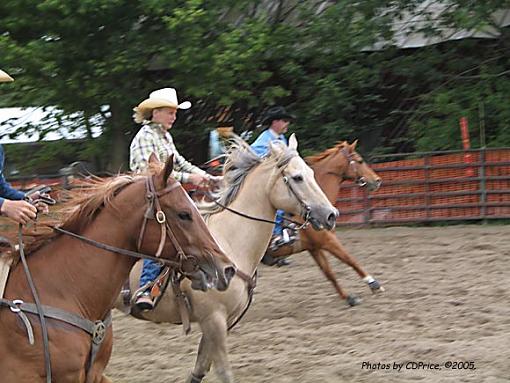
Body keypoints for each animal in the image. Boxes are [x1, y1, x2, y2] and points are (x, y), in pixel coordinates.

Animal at [266, 140, 382, 306]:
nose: (377, 180)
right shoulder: (328, 240)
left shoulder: (314, 248)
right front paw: (373, 283)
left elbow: (329, 273)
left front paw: (348, 297)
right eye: (360, 161)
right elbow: (350, 259)